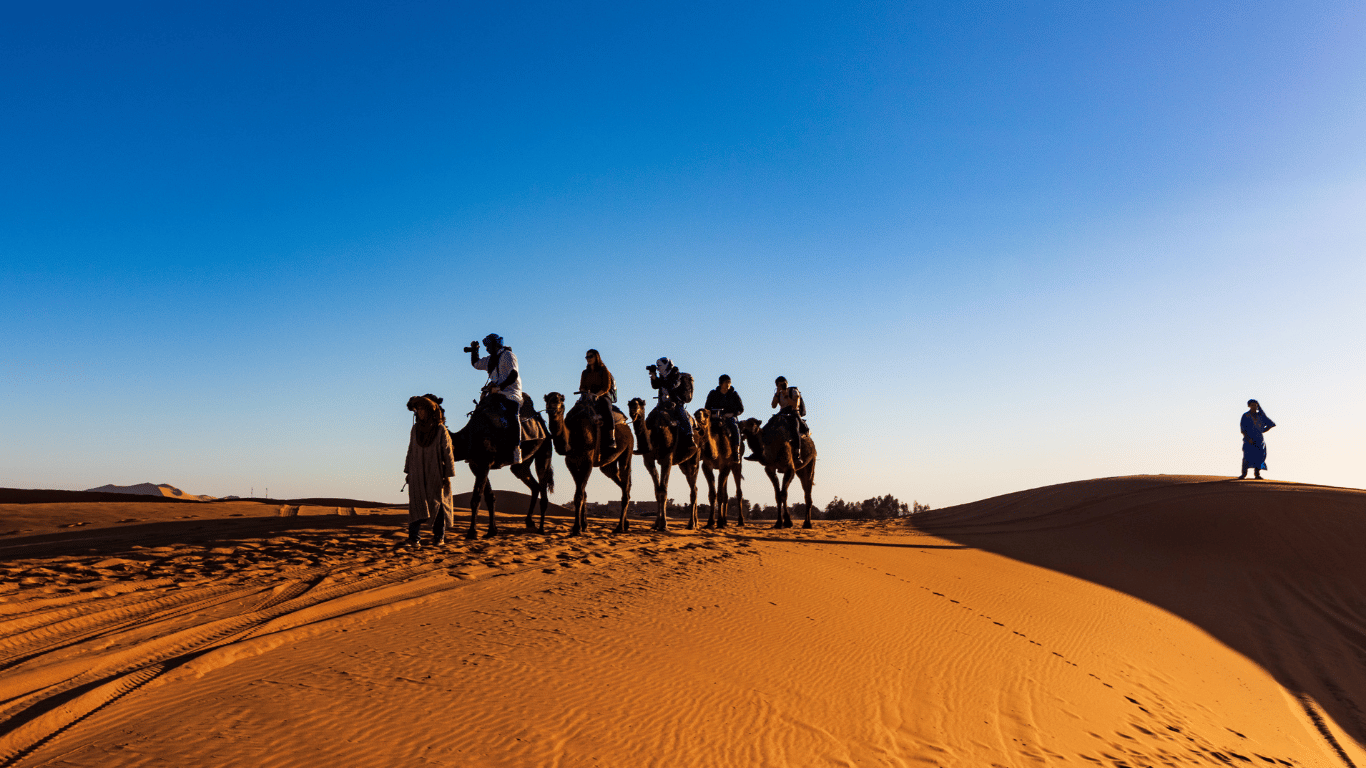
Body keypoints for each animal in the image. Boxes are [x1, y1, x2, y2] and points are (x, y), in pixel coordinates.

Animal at [448, 393, 554, 538]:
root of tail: (542, 424)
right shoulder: (475, 465)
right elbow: (490, 497)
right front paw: (492, 531)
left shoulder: (484, 463)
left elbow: (476, 498)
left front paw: (472, 532)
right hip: (522, 463)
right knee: (533, 484)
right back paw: (529, 522)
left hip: (544, 449)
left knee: (543, 483)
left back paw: (541, 529)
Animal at [543, 388, 633, 532]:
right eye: (547, 399)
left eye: (559, 399)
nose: (552, 408)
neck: (573, 436)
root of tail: (626, 425)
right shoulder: (571, 463)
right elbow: (582, 493)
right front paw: (584, 525)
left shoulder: (587, 462)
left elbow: (579, 495)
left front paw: (576, 528)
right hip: (608, 465)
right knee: (623, 483)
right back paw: (626, 523)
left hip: (628, 449)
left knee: (625, 480)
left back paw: (620, 527)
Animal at [625, 396, 699, 530]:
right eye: (630, 404)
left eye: (641, 404)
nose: (633, 410)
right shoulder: (648, 460)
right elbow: (657, 491)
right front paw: (656, 524)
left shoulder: (667, 458)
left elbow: (663, 490)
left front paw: (664, 524)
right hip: (683, 464)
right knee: (694, 488)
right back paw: (695, 523)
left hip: (694, 458)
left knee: (693, 489)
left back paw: (692, 524)